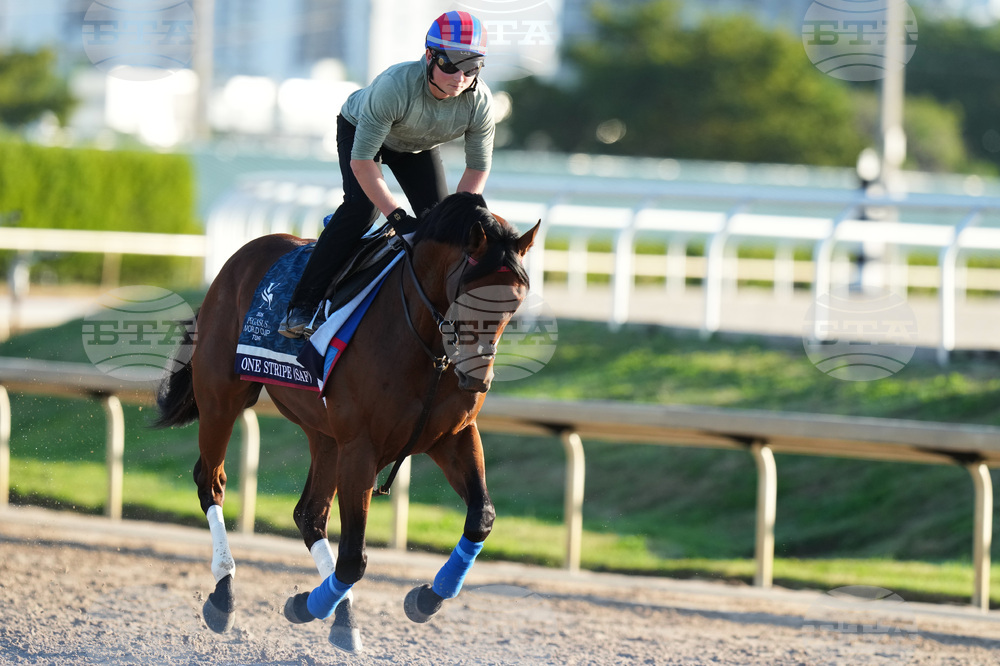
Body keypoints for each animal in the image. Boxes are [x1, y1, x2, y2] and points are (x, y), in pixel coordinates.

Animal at [155, 192, 539, 653]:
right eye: (469, 295)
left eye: (514, 303)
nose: (477, 378)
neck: (425, 343)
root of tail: (236, 261)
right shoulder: (360, 446)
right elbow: (354, 557)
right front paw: (308, 605)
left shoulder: (452, 436)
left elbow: (481, 517)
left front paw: (425, 598)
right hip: (221, 399)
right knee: (210, 481)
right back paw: (224, 596)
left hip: (323, 434)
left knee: (309, 513)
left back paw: (338, 613)